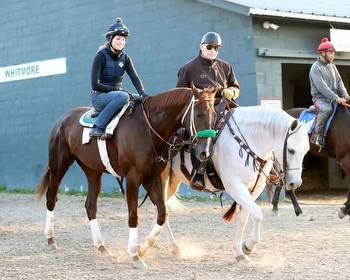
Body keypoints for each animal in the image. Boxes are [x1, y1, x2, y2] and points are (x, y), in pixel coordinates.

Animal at [36, 86, 216, 270]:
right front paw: (135, 255)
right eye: (199, 114)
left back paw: (101, 247)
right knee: (51, 197)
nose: (205, 152)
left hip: (92, 171)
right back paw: (50, 239)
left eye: (214, 115)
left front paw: (143, 248)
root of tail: (63, 118)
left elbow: (162, 213)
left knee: (90, 206)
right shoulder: (132, 178)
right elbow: (133, 215)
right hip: (59, 164)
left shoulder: (152, 178)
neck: (148, 129)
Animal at [137, 106, 308, 264]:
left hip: (172, 181)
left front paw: (242, 250)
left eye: (306, 150)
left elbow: (244, 218)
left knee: (162, 208)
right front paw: (247, 247)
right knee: (161, 207)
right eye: (291, 150)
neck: (247, 140)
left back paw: (164, 245)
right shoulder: (235, 186)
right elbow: (258, 214)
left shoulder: (253, 189)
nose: (295, 183)